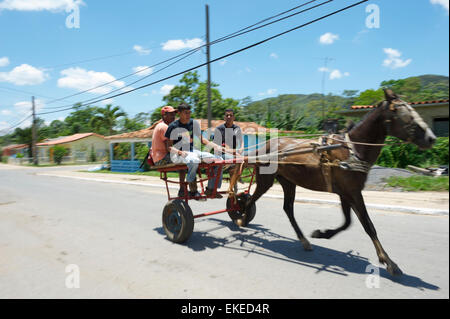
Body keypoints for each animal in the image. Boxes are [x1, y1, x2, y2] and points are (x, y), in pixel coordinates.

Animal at [229, 90, 436, 278]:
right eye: (405, 114)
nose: (431, 138)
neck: (352, 150)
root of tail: (262, 147)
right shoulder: (352, 192)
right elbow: (368, 225)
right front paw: (389, 262)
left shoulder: (347, 192)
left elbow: (348, 222)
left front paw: (322, 233)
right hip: (266, 180)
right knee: (250, 200)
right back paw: (241, 217)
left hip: (288, 182)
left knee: (288, 208)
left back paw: (303, 240)